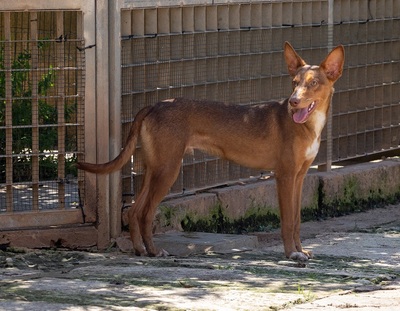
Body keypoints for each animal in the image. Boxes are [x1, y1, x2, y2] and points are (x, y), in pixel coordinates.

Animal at [77, 40, 344, 260]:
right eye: (294, 83)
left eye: (313, 83)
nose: (293, 101)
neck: (306, 125)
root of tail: (156, 104)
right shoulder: (284, 176)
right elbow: (288, 221)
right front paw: (291, 254)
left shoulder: (299, 177)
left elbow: (297, 220)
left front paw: (301, 250)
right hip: (168, 170)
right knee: (145, 214)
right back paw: (153, 251)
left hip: (155, 169)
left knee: (133, 211)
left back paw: (140, 250)